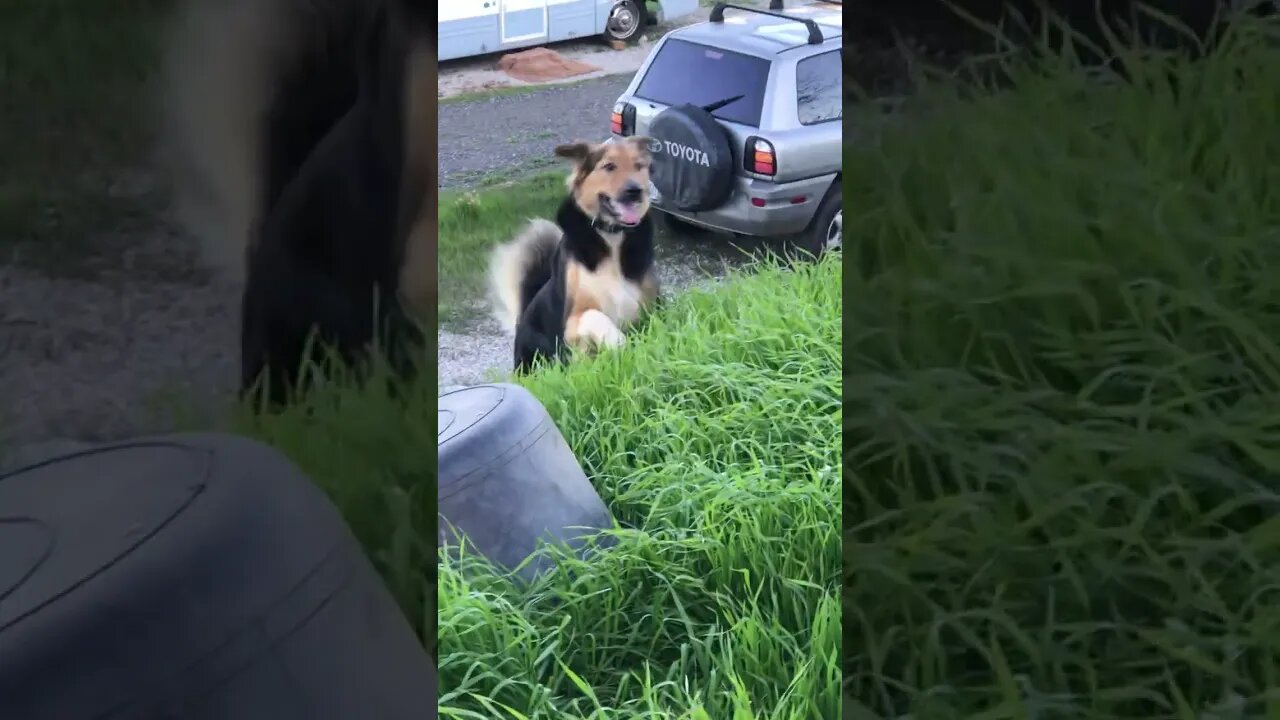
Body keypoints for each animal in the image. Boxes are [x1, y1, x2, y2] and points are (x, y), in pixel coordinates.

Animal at [488, 137, 665, 371]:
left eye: (638, 166)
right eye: (609, 166)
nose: (635, 190)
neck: (612, 236)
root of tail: (522, 317)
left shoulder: (652, 306)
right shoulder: (571, 323)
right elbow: (593, 315)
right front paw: (617, 341)